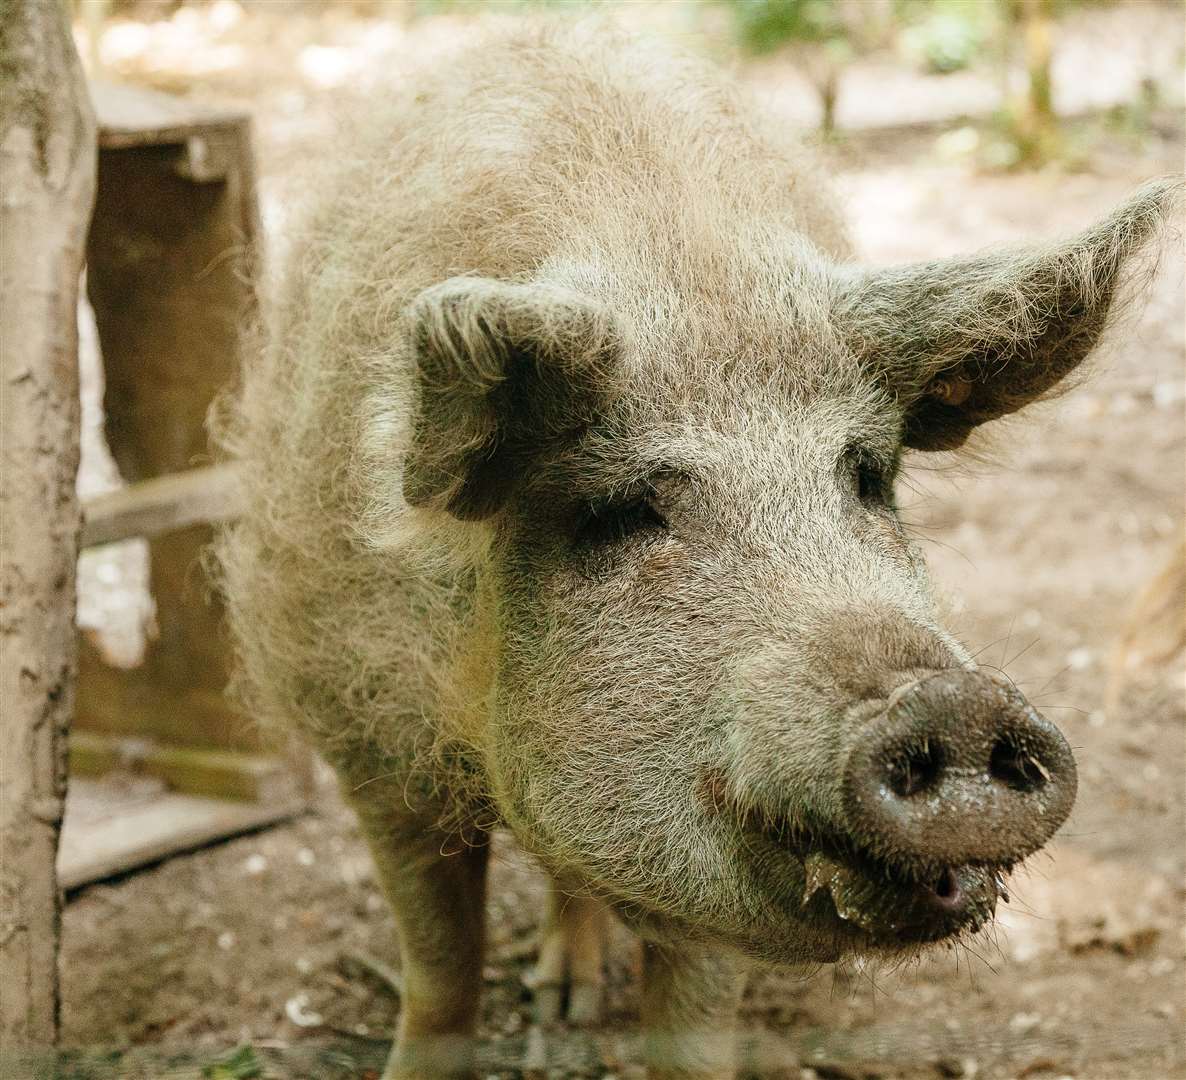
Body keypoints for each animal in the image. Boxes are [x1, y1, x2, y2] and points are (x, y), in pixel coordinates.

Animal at [218, 16, 1181, 1080]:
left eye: (868, 476)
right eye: (624, 511)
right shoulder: (361, 738)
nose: (954, 702)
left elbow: (691, 1014)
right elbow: (439, 960)